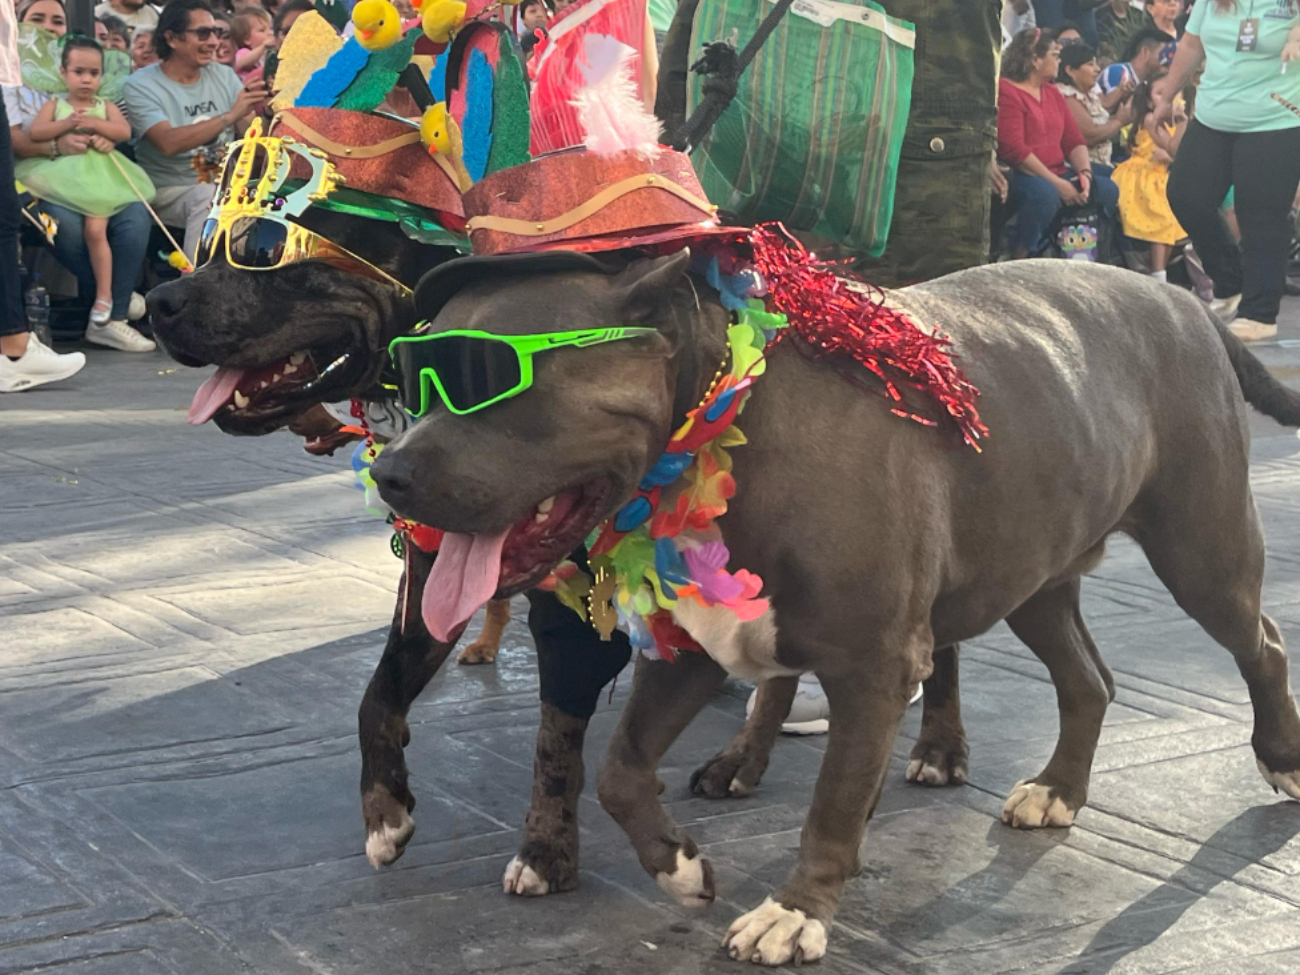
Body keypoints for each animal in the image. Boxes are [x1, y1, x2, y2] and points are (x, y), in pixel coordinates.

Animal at [371, 253, 1300, 972]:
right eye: (413, 380)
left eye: (489, 379)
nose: (389, 474)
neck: (722, 417)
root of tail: (1183, 301)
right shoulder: (694, 651)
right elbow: (620, 769)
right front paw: (679, 865)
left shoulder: (875, 664)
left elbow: (833, 801)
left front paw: (796, 911)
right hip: (1034, 575)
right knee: (1089, 680)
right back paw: (1059, 790)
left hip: (1203, 547)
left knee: (1262, 641)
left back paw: (1280, 756)